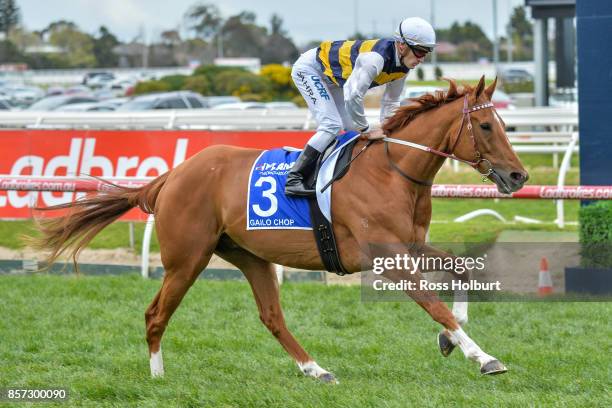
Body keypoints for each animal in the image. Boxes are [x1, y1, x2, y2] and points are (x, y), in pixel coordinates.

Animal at [31, 76, 524, 382]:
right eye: (485, 125)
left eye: (504, 123)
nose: (518, 176)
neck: (392, 171)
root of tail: (171, 175)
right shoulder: (388, 259)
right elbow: (434, 305)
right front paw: (484, 357)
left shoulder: (410, 245)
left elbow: (461, 272)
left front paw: (450, 340)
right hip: (187, 259)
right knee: (156, 314)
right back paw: (158, 375)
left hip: (250, 257)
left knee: (272, 317)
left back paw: (316, 370)